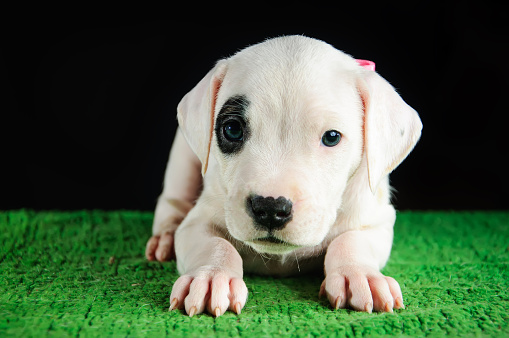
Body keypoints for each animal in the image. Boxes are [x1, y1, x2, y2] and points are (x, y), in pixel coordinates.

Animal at [144, 35, 420, 316]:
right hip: (182, 158)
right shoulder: (197, 223)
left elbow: (351, 240)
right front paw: (211, 275)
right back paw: (164, 238)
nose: (270, 207)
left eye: (332, 137)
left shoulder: (376, 220)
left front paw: (359, 274)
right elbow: (215, 245)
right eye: (232, 130)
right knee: (172, 200)